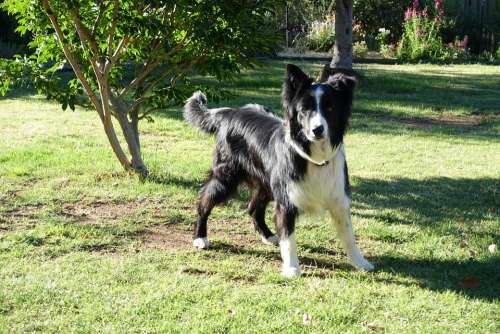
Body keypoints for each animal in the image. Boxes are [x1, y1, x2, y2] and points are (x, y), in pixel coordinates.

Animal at [183, 63, 372, 276]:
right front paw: (291, 269)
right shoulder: (286, 199)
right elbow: (288, 238)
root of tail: (229, 113)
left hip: (265, 182)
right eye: (305, 109)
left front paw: (360, 262)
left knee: (253, 208)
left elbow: (349, 235)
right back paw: (200, 238)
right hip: (226, 177)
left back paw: (268, 235)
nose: (317, 130)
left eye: (330, 107)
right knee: (204, 201)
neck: (314, 157)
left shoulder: (338, 198)